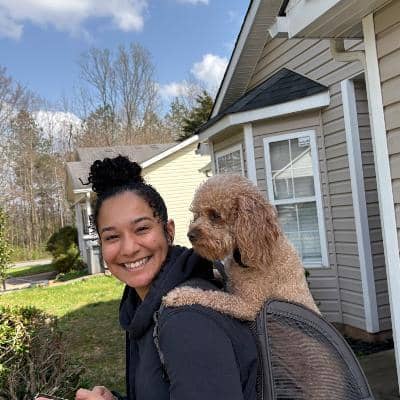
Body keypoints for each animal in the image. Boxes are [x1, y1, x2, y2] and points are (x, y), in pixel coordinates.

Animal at [163, 174, 319, 320]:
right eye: (197, 214)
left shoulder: (247, 305)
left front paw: (180, 294)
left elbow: (215, 297)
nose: (190, 235)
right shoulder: (230, 279)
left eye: (215, 215)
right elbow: (220, 275)